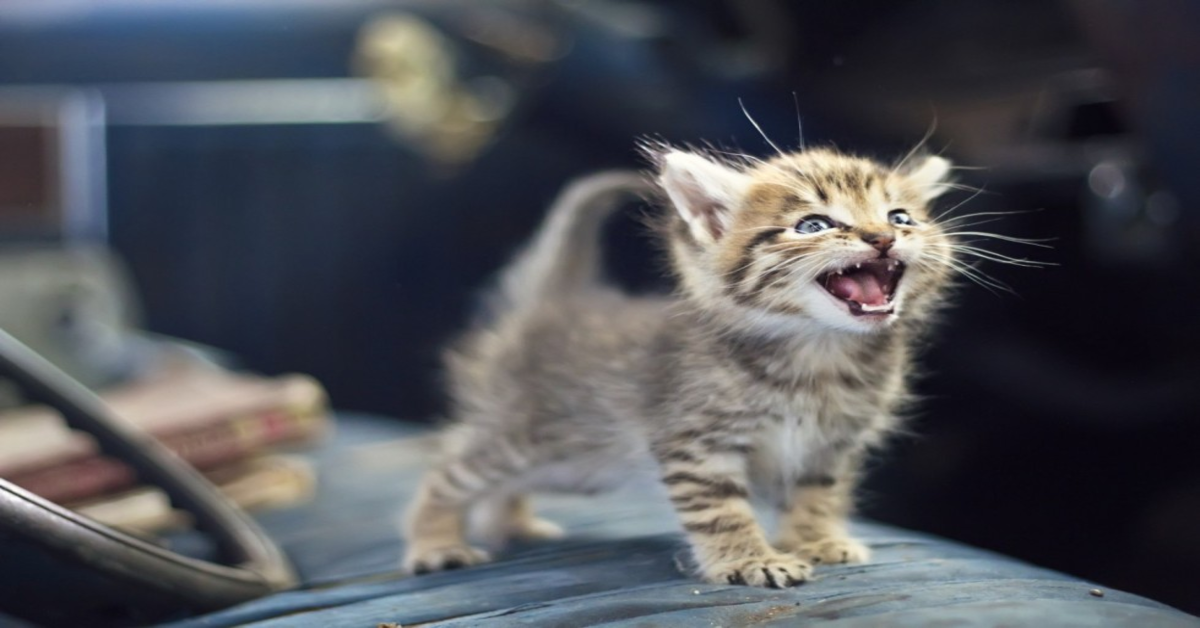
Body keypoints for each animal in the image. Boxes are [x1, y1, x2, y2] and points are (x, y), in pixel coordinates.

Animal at [403, 145, 955, 588]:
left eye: (900, 217)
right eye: (814, 225)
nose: (882, 238)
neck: (816, 354)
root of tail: (549, 306)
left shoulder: (830, 447)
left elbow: (817, 496)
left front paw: (815, 540)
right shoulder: (697, 444)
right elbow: (721, 510)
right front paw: (752, 560)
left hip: (572, 465)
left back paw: (510, 523)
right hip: (521, 438)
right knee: (448, 470)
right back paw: (435, 544)